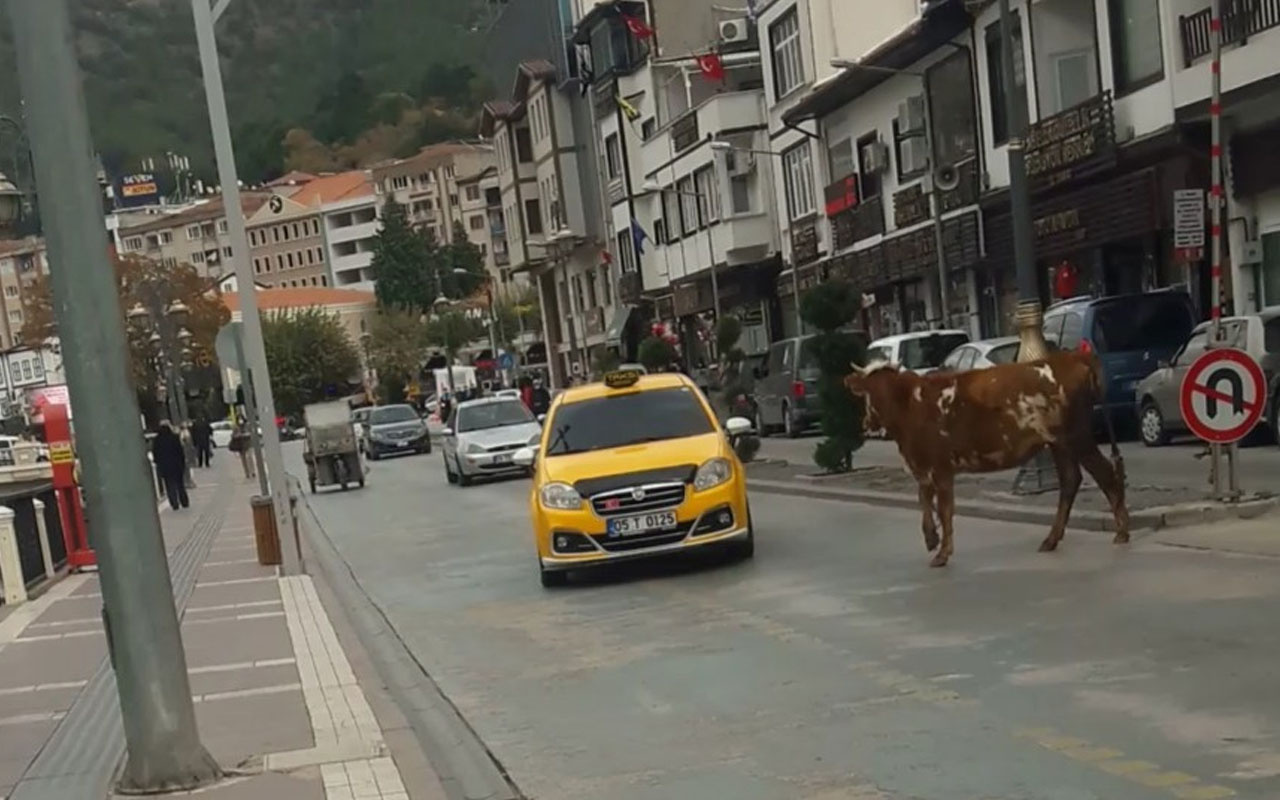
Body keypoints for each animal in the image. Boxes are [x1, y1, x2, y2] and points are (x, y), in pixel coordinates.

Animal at [849, 350, 1131, 568]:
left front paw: (942, 553)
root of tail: (1072, 356)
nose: (867, 423)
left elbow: (945, 508)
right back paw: (1051, 539)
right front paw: (931, 538)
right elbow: (924, 500)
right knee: (1070, 480)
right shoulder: (925, 466)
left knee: (1105, 474)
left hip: (1077, 436)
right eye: (869, 391)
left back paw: (1122, 532)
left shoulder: (940, 467)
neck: (910, 406)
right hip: (1058, 443)